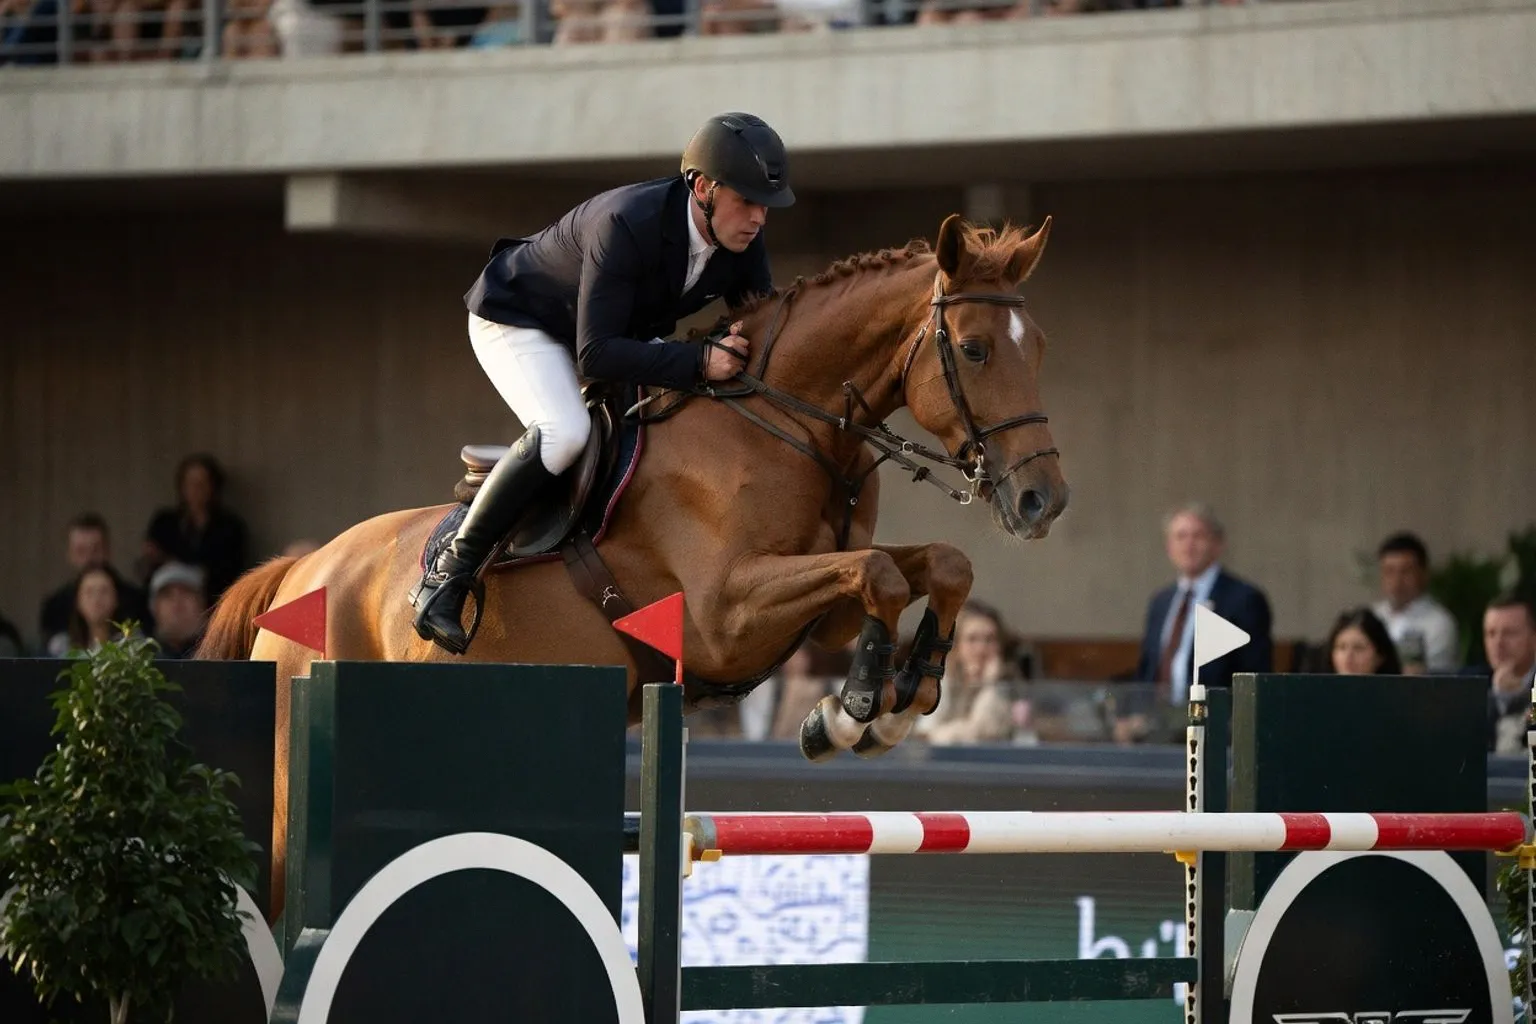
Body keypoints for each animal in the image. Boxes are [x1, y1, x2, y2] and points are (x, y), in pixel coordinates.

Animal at [196, 212, 1070, 918]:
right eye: (974, 349)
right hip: (293, 790)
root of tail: (300, 571)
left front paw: (898, 697)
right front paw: (855, 710)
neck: (788, 424)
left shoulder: (823, 611)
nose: (1043, 502)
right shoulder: (725, 615)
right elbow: (881, 576)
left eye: (1040, 351)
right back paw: (441, 599)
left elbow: (936, 566)